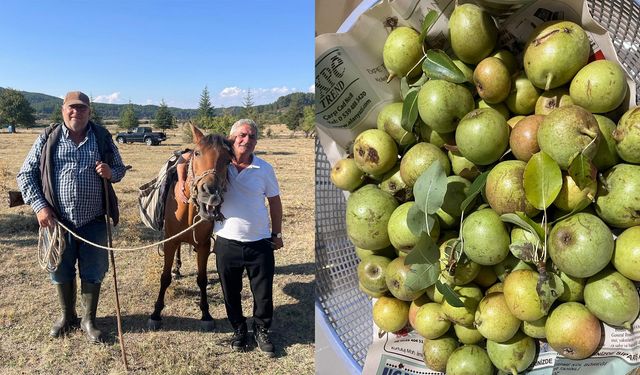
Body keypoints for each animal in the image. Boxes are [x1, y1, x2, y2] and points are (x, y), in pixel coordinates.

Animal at [148, 125, 232, 330]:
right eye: (197, 153)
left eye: (228, 160)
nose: (210, 193)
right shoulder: (170, 242)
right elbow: (164, 277)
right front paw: (156, 313)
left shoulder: (203, 245)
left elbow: (201, 279)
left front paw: (206, 314)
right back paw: (176, 269)